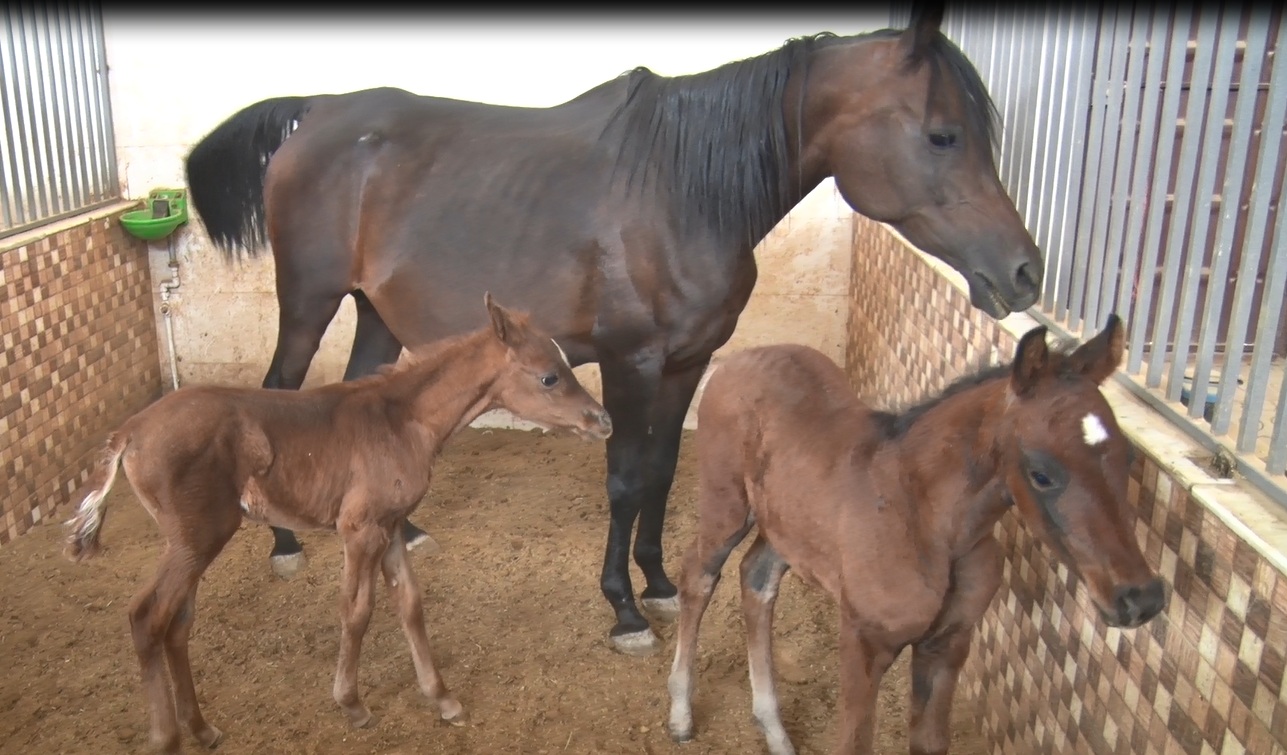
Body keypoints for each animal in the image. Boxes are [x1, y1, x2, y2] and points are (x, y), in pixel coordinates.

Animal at [62, 295, 615, 755]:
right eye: (549, 377)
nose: (603, 421)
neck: (403, 420)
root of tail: (130, 431)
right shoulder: (360, 528)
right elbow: (357, 610)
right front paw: (352, 705)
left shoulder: (392, 525)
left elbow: (410, 605)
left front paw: (443, 699)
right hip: (195, 539)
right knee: (146, 617)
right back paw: (166, 736)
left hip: (193, 542)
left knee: (176, 623)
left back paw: (202, 729)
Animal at [669, 316, 1163, 755]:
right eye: (1041, 474)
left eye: (1127, 457)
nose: (1140, 598)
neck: (930, 522)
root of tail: (737, 359)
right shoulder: (864, 642)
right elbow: (855, 745)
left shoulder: (947, 644)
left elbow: (929, 742)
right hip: (728, 508)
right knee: (698, 576)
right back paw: (680, 715)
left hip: (785, 526)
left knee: (758, 579)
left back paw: (774, 731)